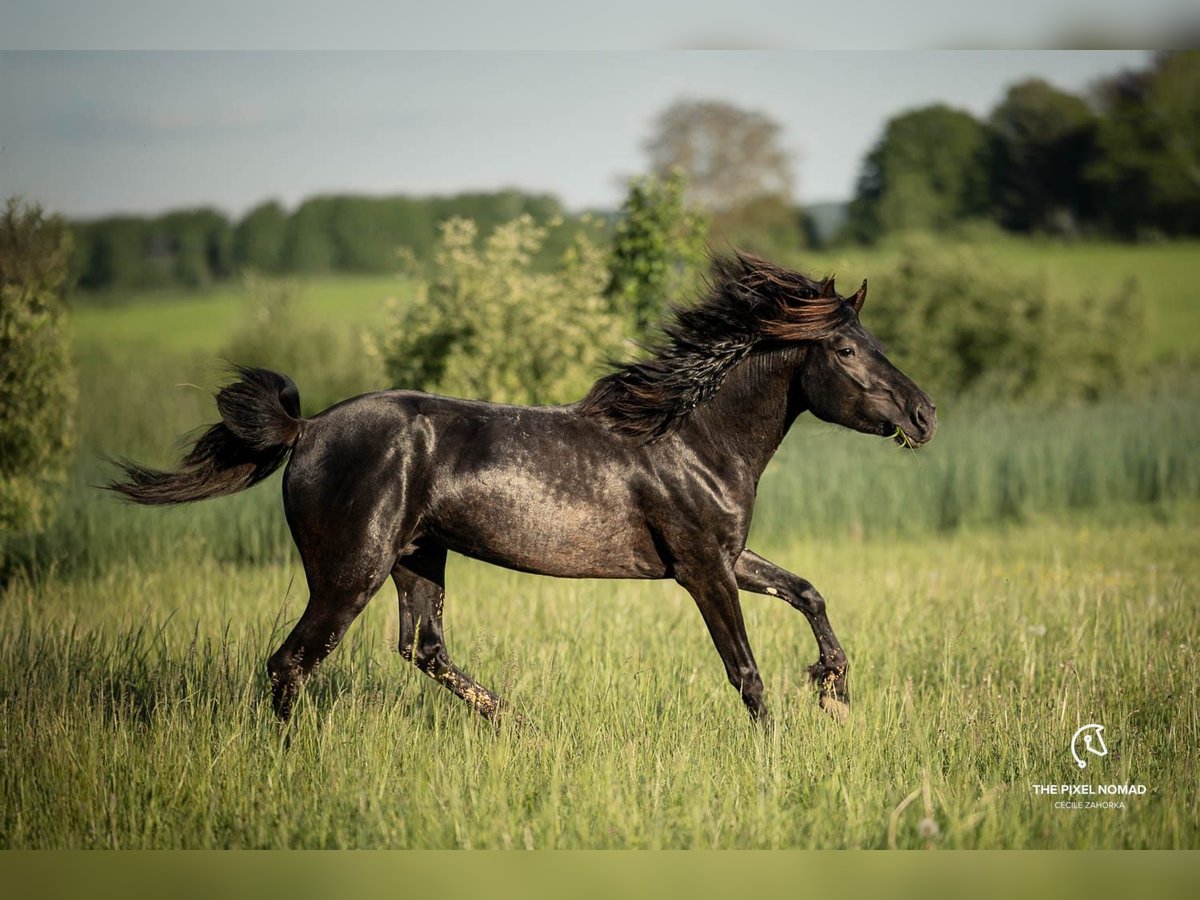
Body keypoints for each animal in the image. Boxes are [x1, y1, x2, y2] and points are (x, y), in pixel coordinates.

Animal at [108, 252, 936, 724]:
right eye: (844, 349)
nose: (924, 415)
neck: (693, 441)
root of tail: (305, 430)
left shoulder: (728, 555)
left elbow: (809, 593)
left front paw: (834, 693)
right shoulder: (703, 568)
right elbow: (745, 670)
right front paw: (780, 744)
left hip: (418, 557)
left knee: (421, 647)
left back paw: (512, 720)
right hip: (350, 570)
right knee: (295, 663)